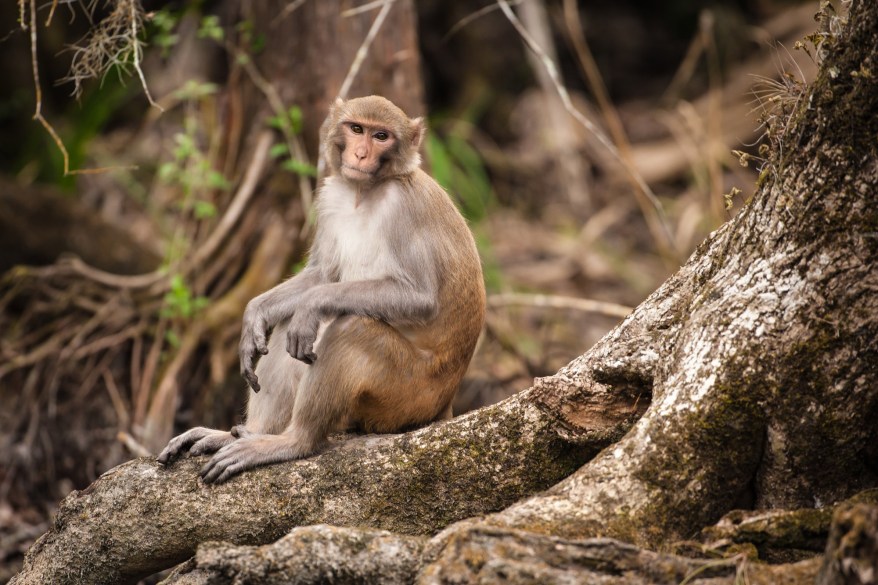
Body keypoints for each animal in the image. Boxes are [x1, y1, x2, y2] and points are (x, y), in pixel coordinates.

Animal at [158, 96, 488, 484]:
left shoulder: (405, 206)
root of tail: (444, 405)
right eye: (357, 129)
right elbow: (322, 275)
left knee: (350, 329)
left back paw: (293, 442)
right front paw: (255, 314)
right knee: (290, 326)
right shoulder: (330, 198)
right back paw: (246, 432)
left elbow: (421, 298)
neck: (364, 193)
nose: (360, 154)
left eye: (381, 136)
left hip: (407, 398)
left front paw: (313, 306)